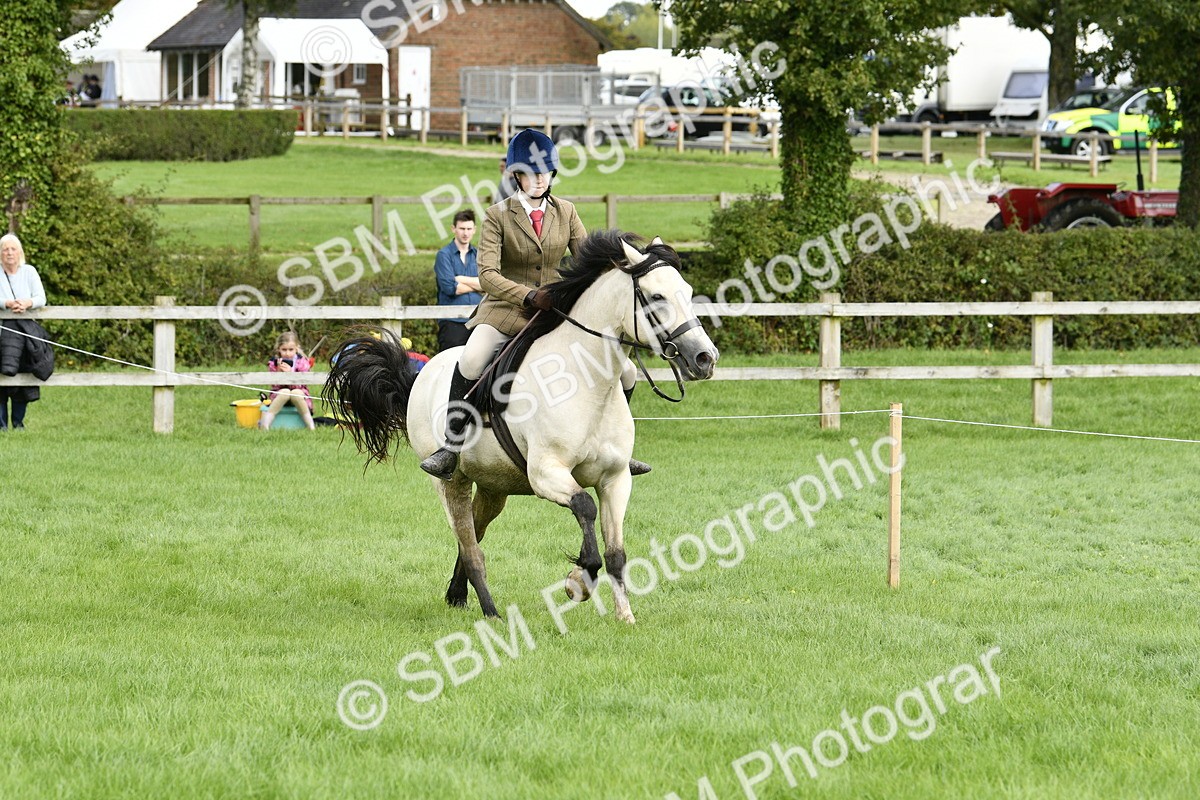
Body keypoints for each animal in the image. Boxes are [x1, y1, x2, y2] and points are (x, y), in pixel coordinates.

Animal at [323, 230, 718, 624]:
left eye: (686, 291)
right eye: (656, 297)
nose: (705, 359)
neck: (587, 383)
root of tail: (423, 373)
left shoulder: (615, 478)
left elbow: (616, 553)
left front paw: (625, 617)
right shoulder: (546, 474)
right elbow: (584, 507)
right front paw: (578, 580)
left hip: (493, 486)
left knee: (475, 533)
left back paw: (457, 596)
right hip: (451, 482)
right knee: (470, 546)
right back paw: (492, 613)